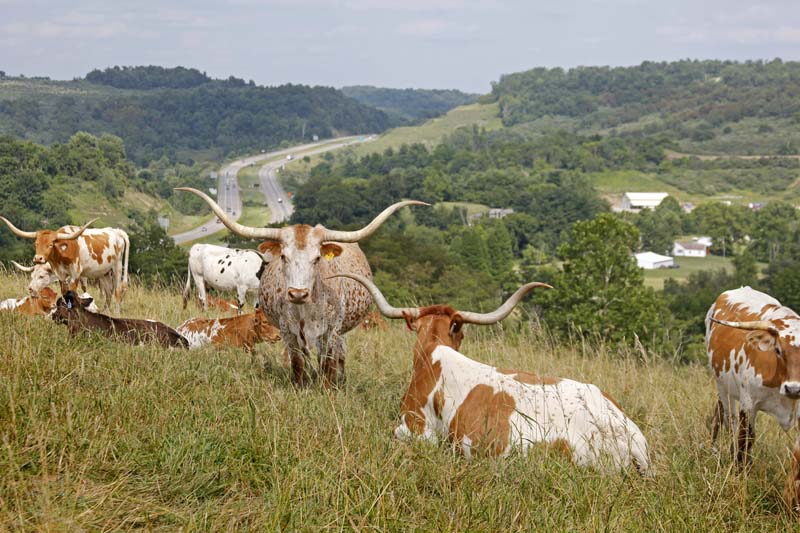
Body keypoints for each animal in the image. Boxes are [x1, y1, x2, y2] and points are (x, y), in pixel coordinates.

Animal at [1, 217, 130, 312]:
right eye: (36, 243)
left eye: (51, 244)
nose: (38, 258)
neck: (63, 252)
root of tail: (117, 231)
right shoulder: (62, 276)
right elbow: (64, 294)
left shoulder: (76, 275)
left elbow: (75, 294)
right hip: (104, 272)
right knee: (109, 292)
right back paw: (106, 312)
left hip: (117, 266)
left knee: (118, 291)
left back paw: (116, 314)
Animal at [175, 187, 424, 386]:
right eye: (284, 256)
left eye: (317, 258)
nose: (297, 293)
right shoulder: (286, 329)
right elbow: (296, 362)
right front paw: (299, 387)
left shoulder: (331, 331)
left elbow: (328, 364)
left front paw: (327, 390)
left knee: (338, 355)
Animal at [708, 284, 800, 510]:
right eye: (778, 350)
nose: (794, 389)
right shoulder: (748, 405)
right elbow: (745, 441)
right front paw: (741, 480)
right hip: (724, 389)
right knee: (727, 422)